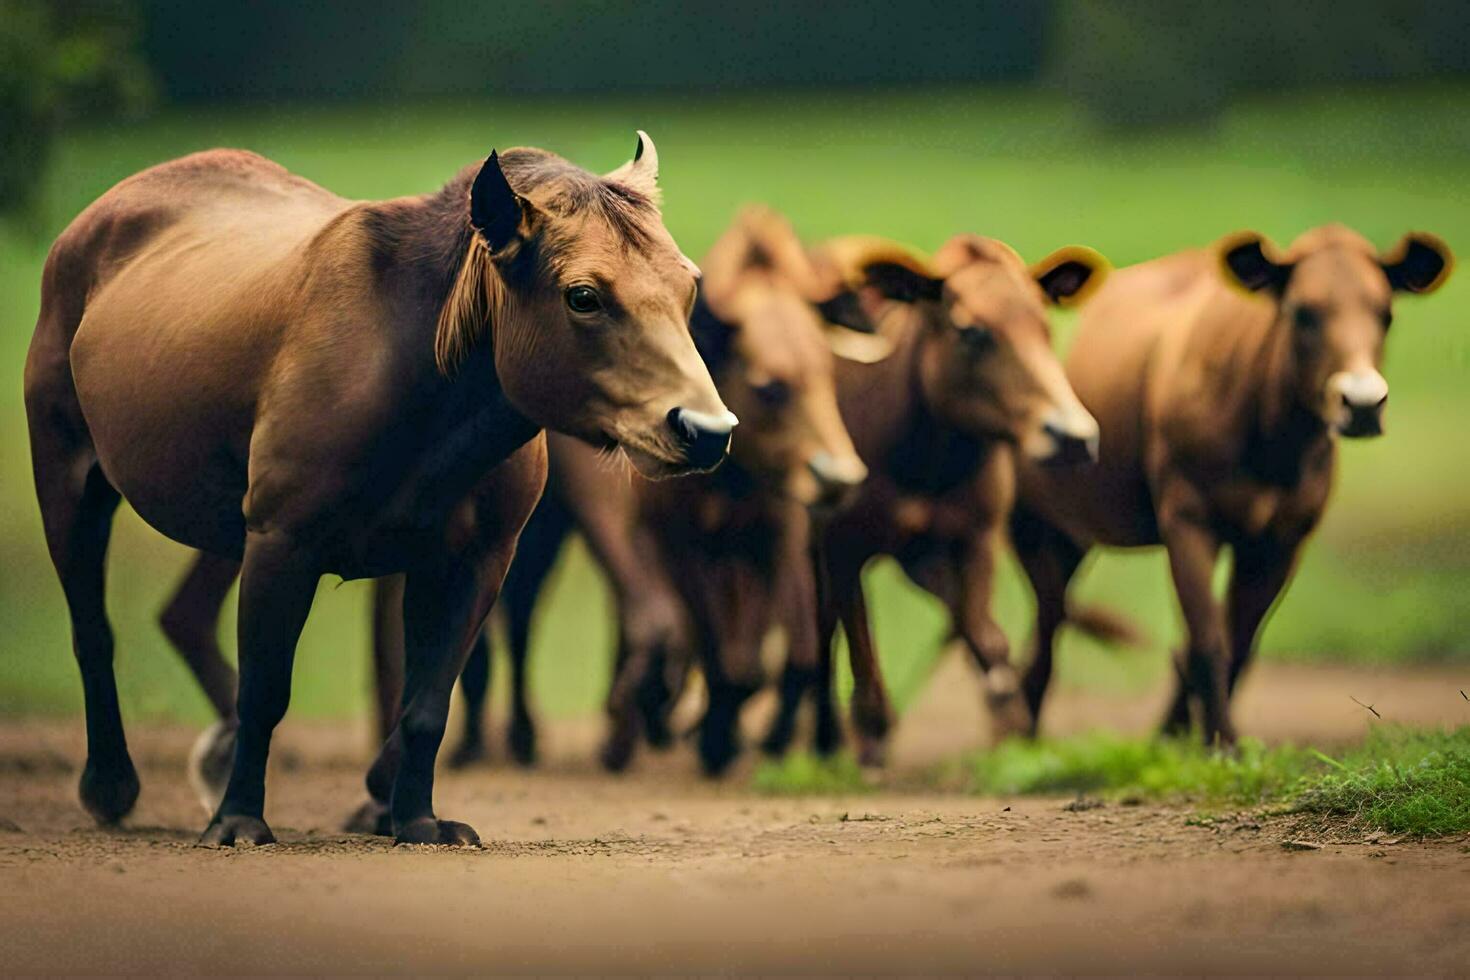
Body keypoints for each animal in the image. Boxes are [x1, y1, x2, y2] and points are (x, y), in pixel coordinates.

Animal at [24, 134, 735, 846]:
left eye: (689, 285)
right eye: (583, 296)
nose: (705, 430)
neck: (417, 371)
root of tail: (107, 209)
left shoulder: (475, 560)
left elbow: (425, 702)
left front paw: (411, 815)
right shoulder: (281, 543)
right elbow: (265, 691)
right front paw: (238, 818)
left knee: (183, 616)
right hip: (70, 480)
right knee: (93, 629)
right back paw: (113, 784)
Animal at [764, 235, 1105, 764]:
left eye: (1044, 327)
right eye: (972, 331)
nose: (1072, 434)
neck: (929, 462)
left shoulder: (977, 534)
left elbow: (978, 625)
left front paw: (1007, 711)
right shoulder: (841, 544)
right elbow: (856, 633)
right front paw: (871, 728)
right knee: (819, 630)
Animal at [1011, 224, 1446, 743]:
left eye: (1386, 314)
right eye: (1303, 312)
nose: (1361, 403)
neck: (1271, 442)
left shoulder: (1283, 537)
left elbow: (1236, 641)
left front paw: (1194, 737)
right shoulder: (1187, 519)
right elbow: (1209, 641)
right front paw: (1223, 745)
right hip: (1031, 524)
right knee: (1046, 629)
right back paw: (1021, 738)